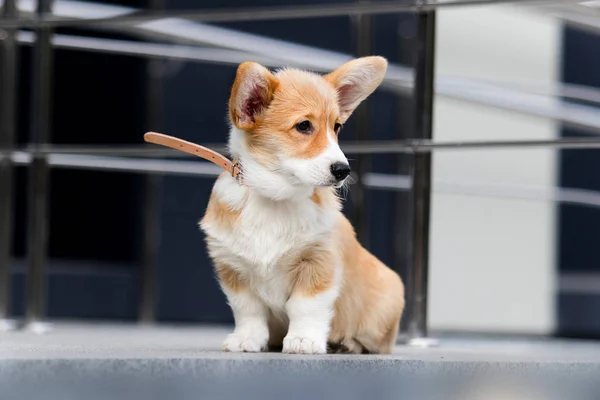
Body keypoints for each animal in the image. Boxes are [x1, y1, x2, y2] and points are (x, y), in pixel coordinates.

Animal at [200, 55, 404, 354]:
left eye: (336, 127)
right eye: (304, 126)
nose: (343, 170)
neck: (276, 196)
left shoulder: (318, 262)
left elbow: (305, 307)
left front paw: (303, 340)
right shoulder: (233, 269)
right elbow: (248, 310)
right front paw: (246, 339)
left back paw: (347, 344)